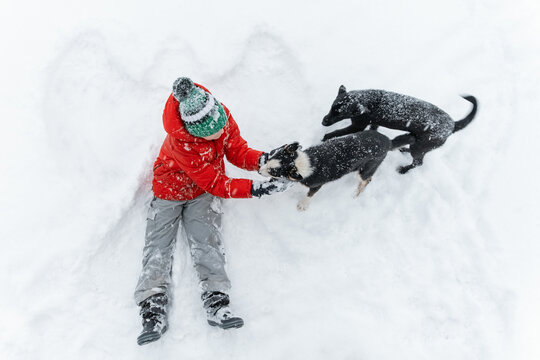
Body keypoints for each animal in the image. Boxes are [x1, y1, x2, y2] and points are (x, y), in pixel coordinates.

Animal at [260, 131, 390, 211]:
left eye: (273, 172)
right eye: (269, 160)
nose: (259, 171)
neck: (303, 163)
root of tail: (387, 141)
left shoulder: (317, 184)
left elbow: (310, 194)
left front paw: (303, 204)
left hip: (365, 169)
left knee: (367, 180)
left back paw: (355, 194)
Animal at [320, 86, 476, 173]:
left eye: (340, 113)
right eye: (332, 107)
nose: (324, 121)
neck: (368, 101)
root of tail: (453, 125)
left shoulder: (357, 125)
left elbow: (336, 133)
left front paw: (325, 137)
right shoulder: (373, 123)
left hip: (421, 146)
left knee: (418, 162)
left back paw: (404, 170)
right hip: (418, 143)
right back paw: (404, 149)